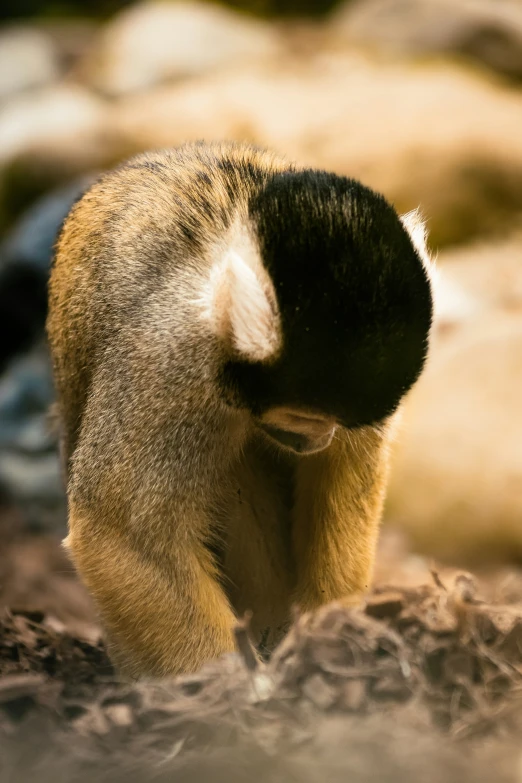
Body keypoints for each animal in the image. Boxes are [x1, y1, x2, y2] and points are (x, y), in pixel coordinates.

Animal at [46, 141, 432, 680]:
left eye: (334, 423)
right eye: (304, 419)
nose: (321, 437)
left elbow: (346, 479)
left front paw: (329, 636)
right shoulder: (171, 356)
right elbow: (120, 532)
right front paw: (228, 691)